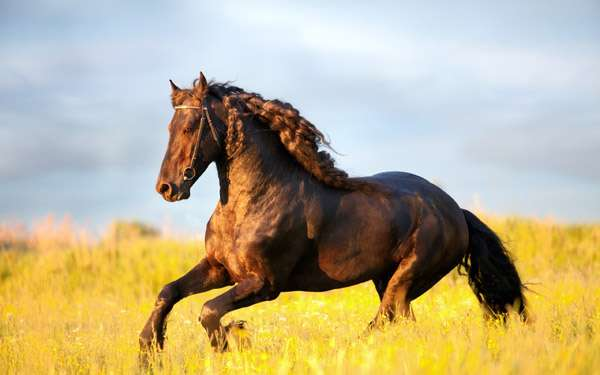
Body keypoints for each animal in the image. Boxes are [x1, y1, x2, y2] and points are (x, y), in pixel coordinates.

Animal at [138, 71, 528, 356]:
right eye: (169, 129)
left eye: (190, 128)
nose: (167, 188)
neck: (253, 203)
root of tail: (456, 211)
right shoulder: (220, 268)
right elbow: (168, 292)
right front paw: (149, 349)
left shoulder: (265, 283)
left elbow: (208, 311)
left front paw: (233, 340)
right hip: (387, 279)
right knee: (400, 322)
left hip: (407, 277)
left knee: (385, 318)